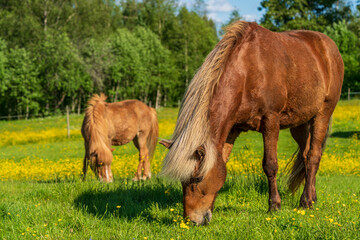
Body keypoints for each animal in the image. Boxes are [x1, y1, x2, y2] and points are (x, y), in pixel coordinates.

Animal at [160, 20, 344, 225]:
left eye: (198, 179)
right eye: (182, 181)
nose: (192, 221)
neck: (247, 72)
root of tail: (329, 46)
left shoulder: (271, 121)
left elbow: (270, 165)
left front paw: (274, 205)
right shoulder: (231, 130)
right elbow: (222, 162)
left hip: (323, 114)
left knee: (313, 157)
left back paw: (306, 202)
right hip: (300, 123)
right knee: (305, 156)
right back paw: (313, 196)